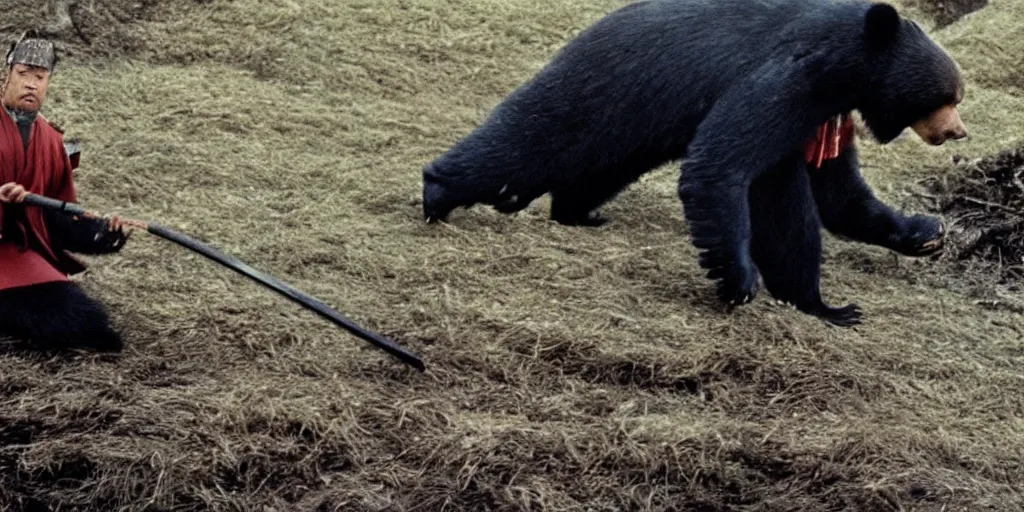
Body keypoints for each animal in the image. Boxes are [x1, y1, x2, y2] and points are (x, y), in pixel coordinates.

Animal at [419, 0, 962, 325]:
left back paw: (578, 212)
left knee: (596, 171)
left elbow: (837, 192)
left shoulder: (823, 117)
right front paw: (747, 282)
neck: (845, 64)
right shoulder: (786, 83)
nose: (958, 131)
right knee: (534, 137)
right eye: (945, 97)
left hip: (633, 133)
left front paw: (924, 233)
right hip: (603, 89)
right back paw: (438, 191)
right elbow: (723, 164)